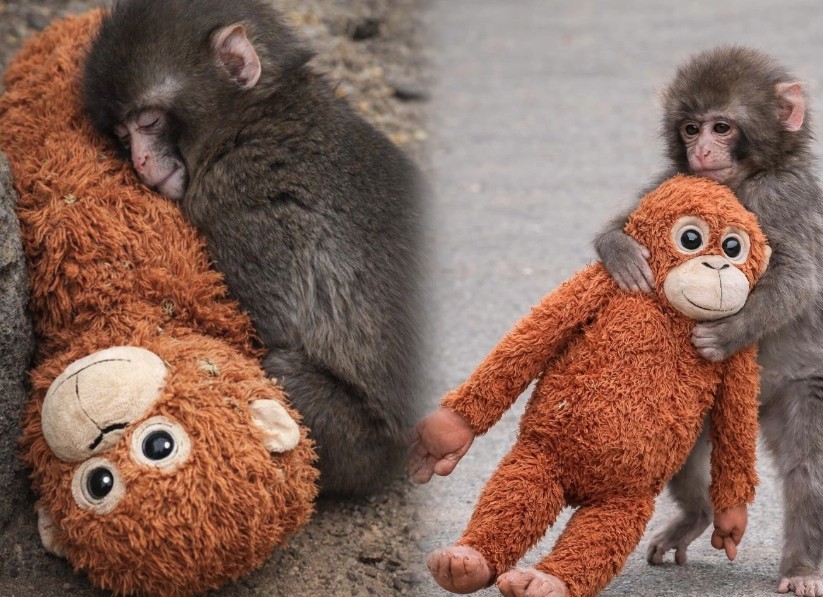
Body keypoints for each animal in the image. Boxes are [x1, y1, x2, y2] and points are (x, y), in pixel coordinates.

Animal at [82, 0, 424, 496]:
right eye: (124, 136)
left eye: (148, 121)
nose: (141, 161)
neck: (251, 117)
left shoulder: (241, 207)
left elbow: (270, 328)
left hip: (358, 445)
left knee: (280, 372)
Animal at [593, 46, 823, 595]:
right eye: (690, 128)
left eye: (722, 127)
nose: (700, 151)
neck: (743, 181)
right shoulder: (677, 185)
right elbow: (629, 222)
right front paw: (620, 251)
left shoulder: (784, 194)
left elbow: (799, 277)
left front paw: (726, 334)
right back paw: (698, 515)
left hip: (799, 387)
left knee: (808, 469)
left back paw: (803, 567)